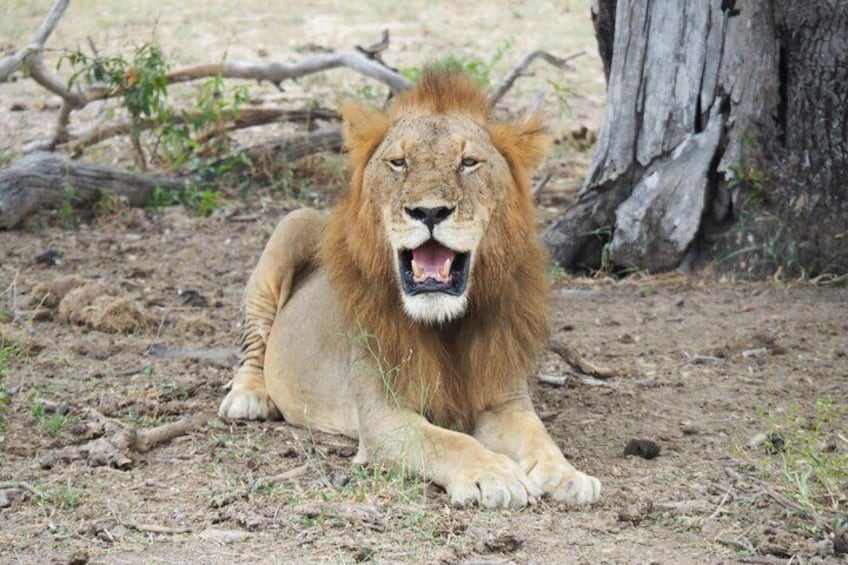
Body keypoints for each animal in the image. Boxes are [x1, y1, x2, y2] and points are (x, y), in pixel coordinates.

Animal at [218, 69, 601, 509]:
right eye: (398, 162)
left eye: (469, 162)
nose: (430, 211)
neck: (446, 325)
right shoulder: (383, 415)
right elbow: (448, 442)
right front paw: (495, 474)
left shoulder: (505, 400)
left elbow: (540, 437)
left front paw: (568, 475)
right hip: (292, 225)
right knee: (254, 339)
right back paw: (249, 397)